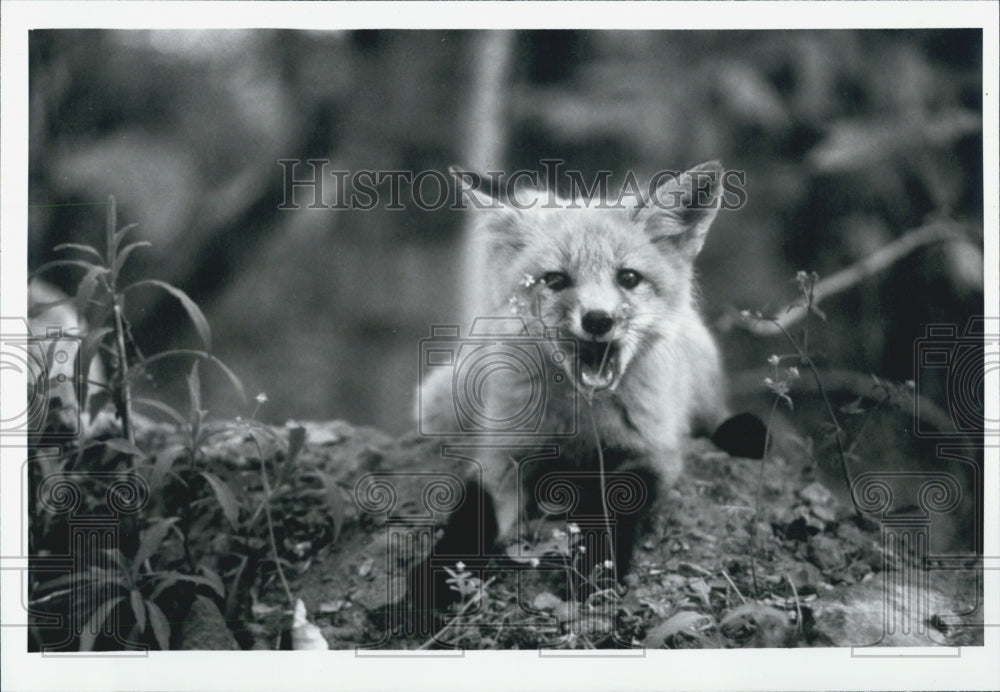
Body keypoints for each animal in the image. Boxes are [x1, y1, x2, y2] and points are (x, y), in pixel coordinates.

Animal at [418, 161, 760, 572]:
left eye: (628, 277)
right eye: (555, 279)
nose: (598, 319)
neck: (582, 424)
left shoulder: (654, 452)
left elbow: (614, 499)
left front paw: (599, 570)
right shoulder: (501, 453)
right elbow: (472, 516)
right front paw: (435, 578)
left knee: (717, 419)